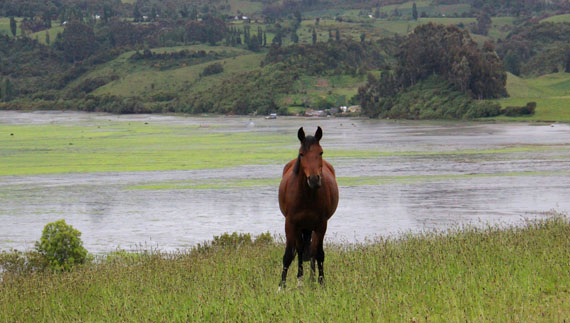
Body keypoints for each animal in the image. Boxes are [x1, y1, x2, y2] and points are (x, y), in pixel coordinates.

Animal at [276, 127, 336, 288]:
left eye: (320, 152)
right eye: (301, 154)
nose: (314, 180)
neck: (306, 196)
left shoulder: (321, 224)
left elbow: (319, 253)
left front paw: (321, 283)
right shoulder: (290, 223)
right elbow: (289, 255)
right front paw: (281, 286)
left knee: (312, 251)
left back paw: (311, 280)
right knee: (301, 250)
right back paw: (301, 281)